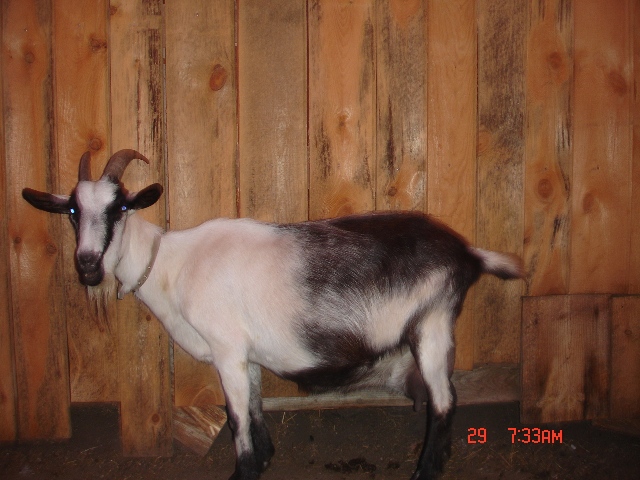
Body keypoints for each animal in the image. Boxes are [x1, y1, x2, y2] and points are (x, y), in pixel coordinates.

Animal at [22, 149, 524, 480]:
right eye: (72, 210)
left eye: (120, 206)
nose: (87, 265)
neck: (173, 264)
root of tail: (466, 252)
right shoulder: (246, 354)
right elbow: (255, 409)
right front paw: (264, 460)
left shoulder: (226, 348)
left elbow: (236, 417)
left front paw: (244, 471)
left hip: (432, 325)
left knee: (444, 400)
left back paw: (425, 471)